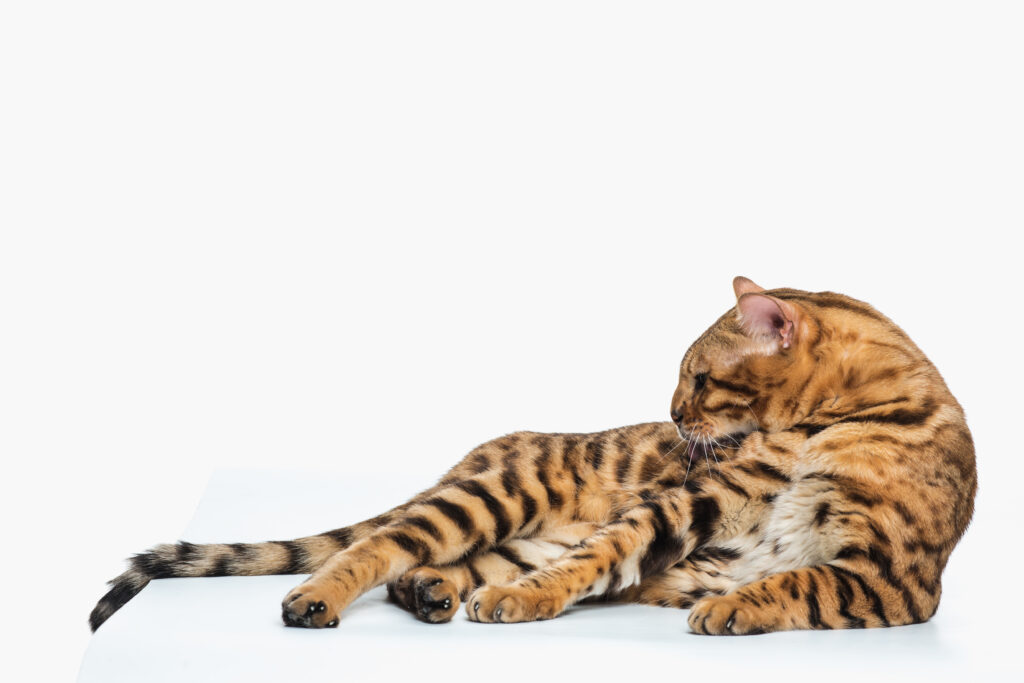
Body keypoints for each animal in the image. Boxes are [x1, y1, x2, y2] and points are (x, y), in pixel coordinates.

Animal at [90, 278, 974, 634]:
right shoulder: (693, 500)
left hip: (513, 530)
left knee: (443, 564)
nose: (672, 415)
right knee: (380, 544)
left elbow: (798, 578)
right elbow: (604, 555)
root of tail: (477, 452)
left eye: (697, 377)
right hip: (501, 495)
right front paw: (533, 600)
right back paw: (321, 596)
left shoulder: (891, 575)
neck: (841, 416)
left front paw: (731, 605)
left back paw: (438, 594)